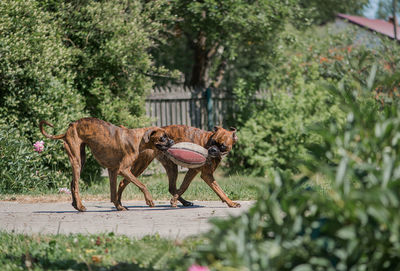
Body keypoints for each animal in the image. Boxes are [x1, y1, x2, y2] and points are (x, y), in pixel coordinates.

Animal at [38, 118, 173, 211]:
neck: (137, 139)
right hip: (76, 162)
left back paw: (76, 205)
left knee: (72, 184)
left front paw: (119, 207)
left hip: (81, 162)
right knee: (75, 186)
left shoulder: (113, 171)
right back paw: (80, 206)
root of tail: (70, 127)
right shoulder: (123, 170)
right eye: (163, 137)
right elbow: (142, 185)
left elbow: (113, 193)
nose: (172, 141)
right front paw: (149, 200)